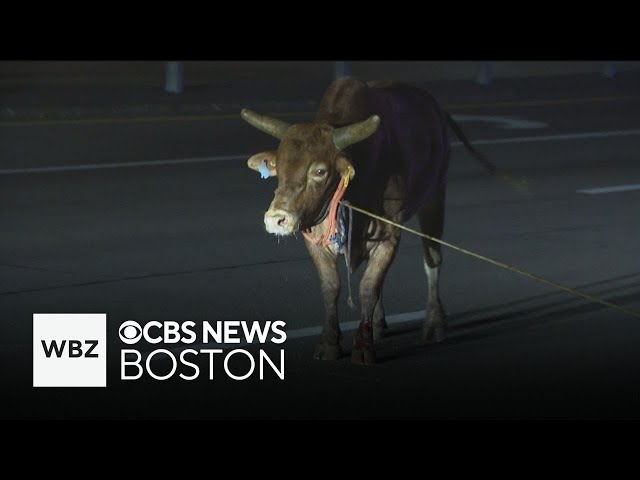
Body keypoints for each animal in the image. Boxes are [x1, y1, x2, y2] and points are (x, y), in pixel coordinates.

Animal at [241, 77, 490, 366]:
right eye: (278, 168)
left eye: (319, 171)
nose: (277, 219)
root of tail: (435, 110)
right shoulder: (314, 237)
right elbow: (332, 286)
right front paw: (329, 343)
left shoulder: (388, 236)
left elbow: (368, 287)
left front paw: (363, 346)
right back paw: (380, 324)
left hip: (435, 196)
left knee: (432, 260)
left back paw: (434, 322)